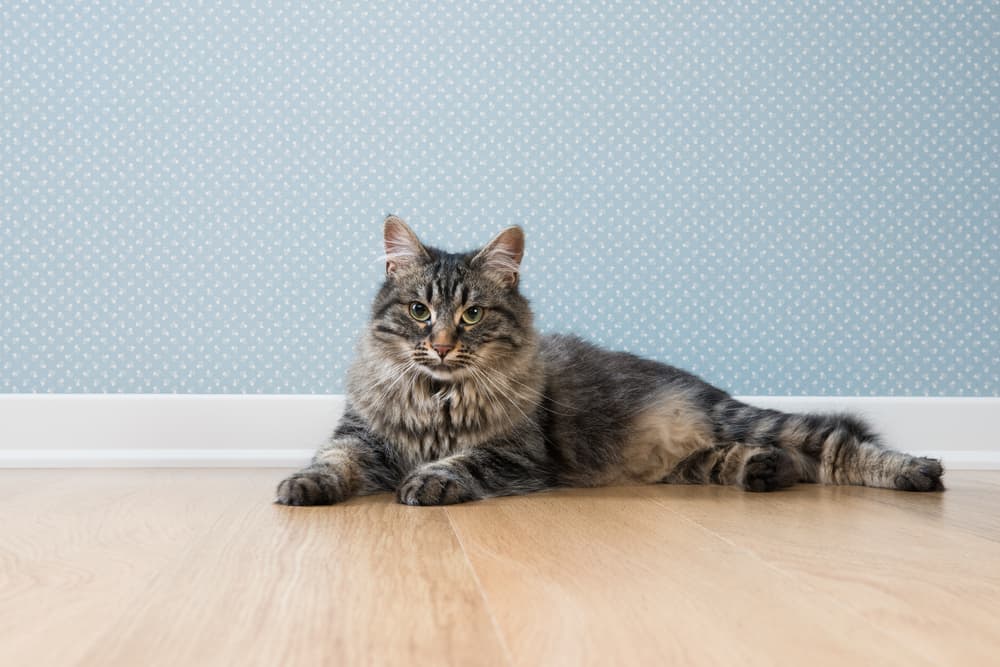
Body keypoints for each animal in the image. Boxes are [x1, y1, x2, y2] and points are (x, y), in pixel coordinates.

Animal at [276, 218, 944, 506]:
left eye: (470, 315)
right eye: (419, 311)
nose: (440, 345)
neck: (439, 395)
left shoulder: (517, 454)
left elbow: (460, 463)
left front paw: (429, 481)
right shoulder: (360, 438)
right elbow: (332, 463)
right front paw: (304, 485)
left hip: (741, 418)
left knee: (833, 444)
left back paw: (916, 472)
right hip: (693, 461)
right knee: (776, 462)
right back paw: (762, 471)